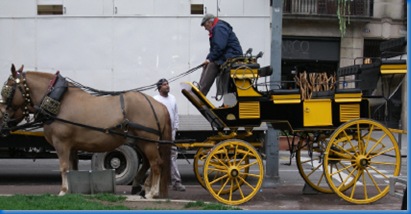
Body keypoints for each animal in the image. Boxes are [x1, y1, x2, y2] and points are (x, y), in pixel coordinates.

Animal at [0, 64, 172, 199]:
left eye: (7, 89)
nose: (2, 115)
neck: (59, 101)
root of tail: (158, 105)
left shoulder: (61, 143)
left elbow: (64, 167)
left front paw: (63, 191)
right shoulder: (71, 146)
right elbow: (72, 167)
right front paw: (72, 190)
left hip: (148, 141)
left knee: (156, 164)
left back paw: (152, 192)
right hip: (143, 142)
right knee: (150, 163)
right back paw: (145, 188)